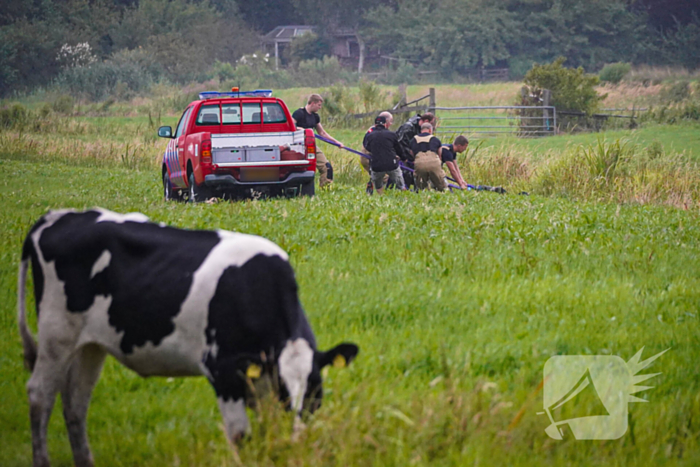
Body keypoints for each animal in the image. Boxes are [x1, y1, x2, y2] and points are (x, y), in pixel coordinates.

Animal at [19, 209, 358, 467]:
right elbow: (241, 437)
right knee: (40, 394)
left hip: (90, 344)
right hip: (56, 335)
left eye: (315, 389)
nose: (297, 435)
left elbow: (265, 433)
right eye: (286, 391)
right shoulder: (222, 371)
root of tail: (54, 216)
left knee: (75, 401)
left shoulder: (259, 383)